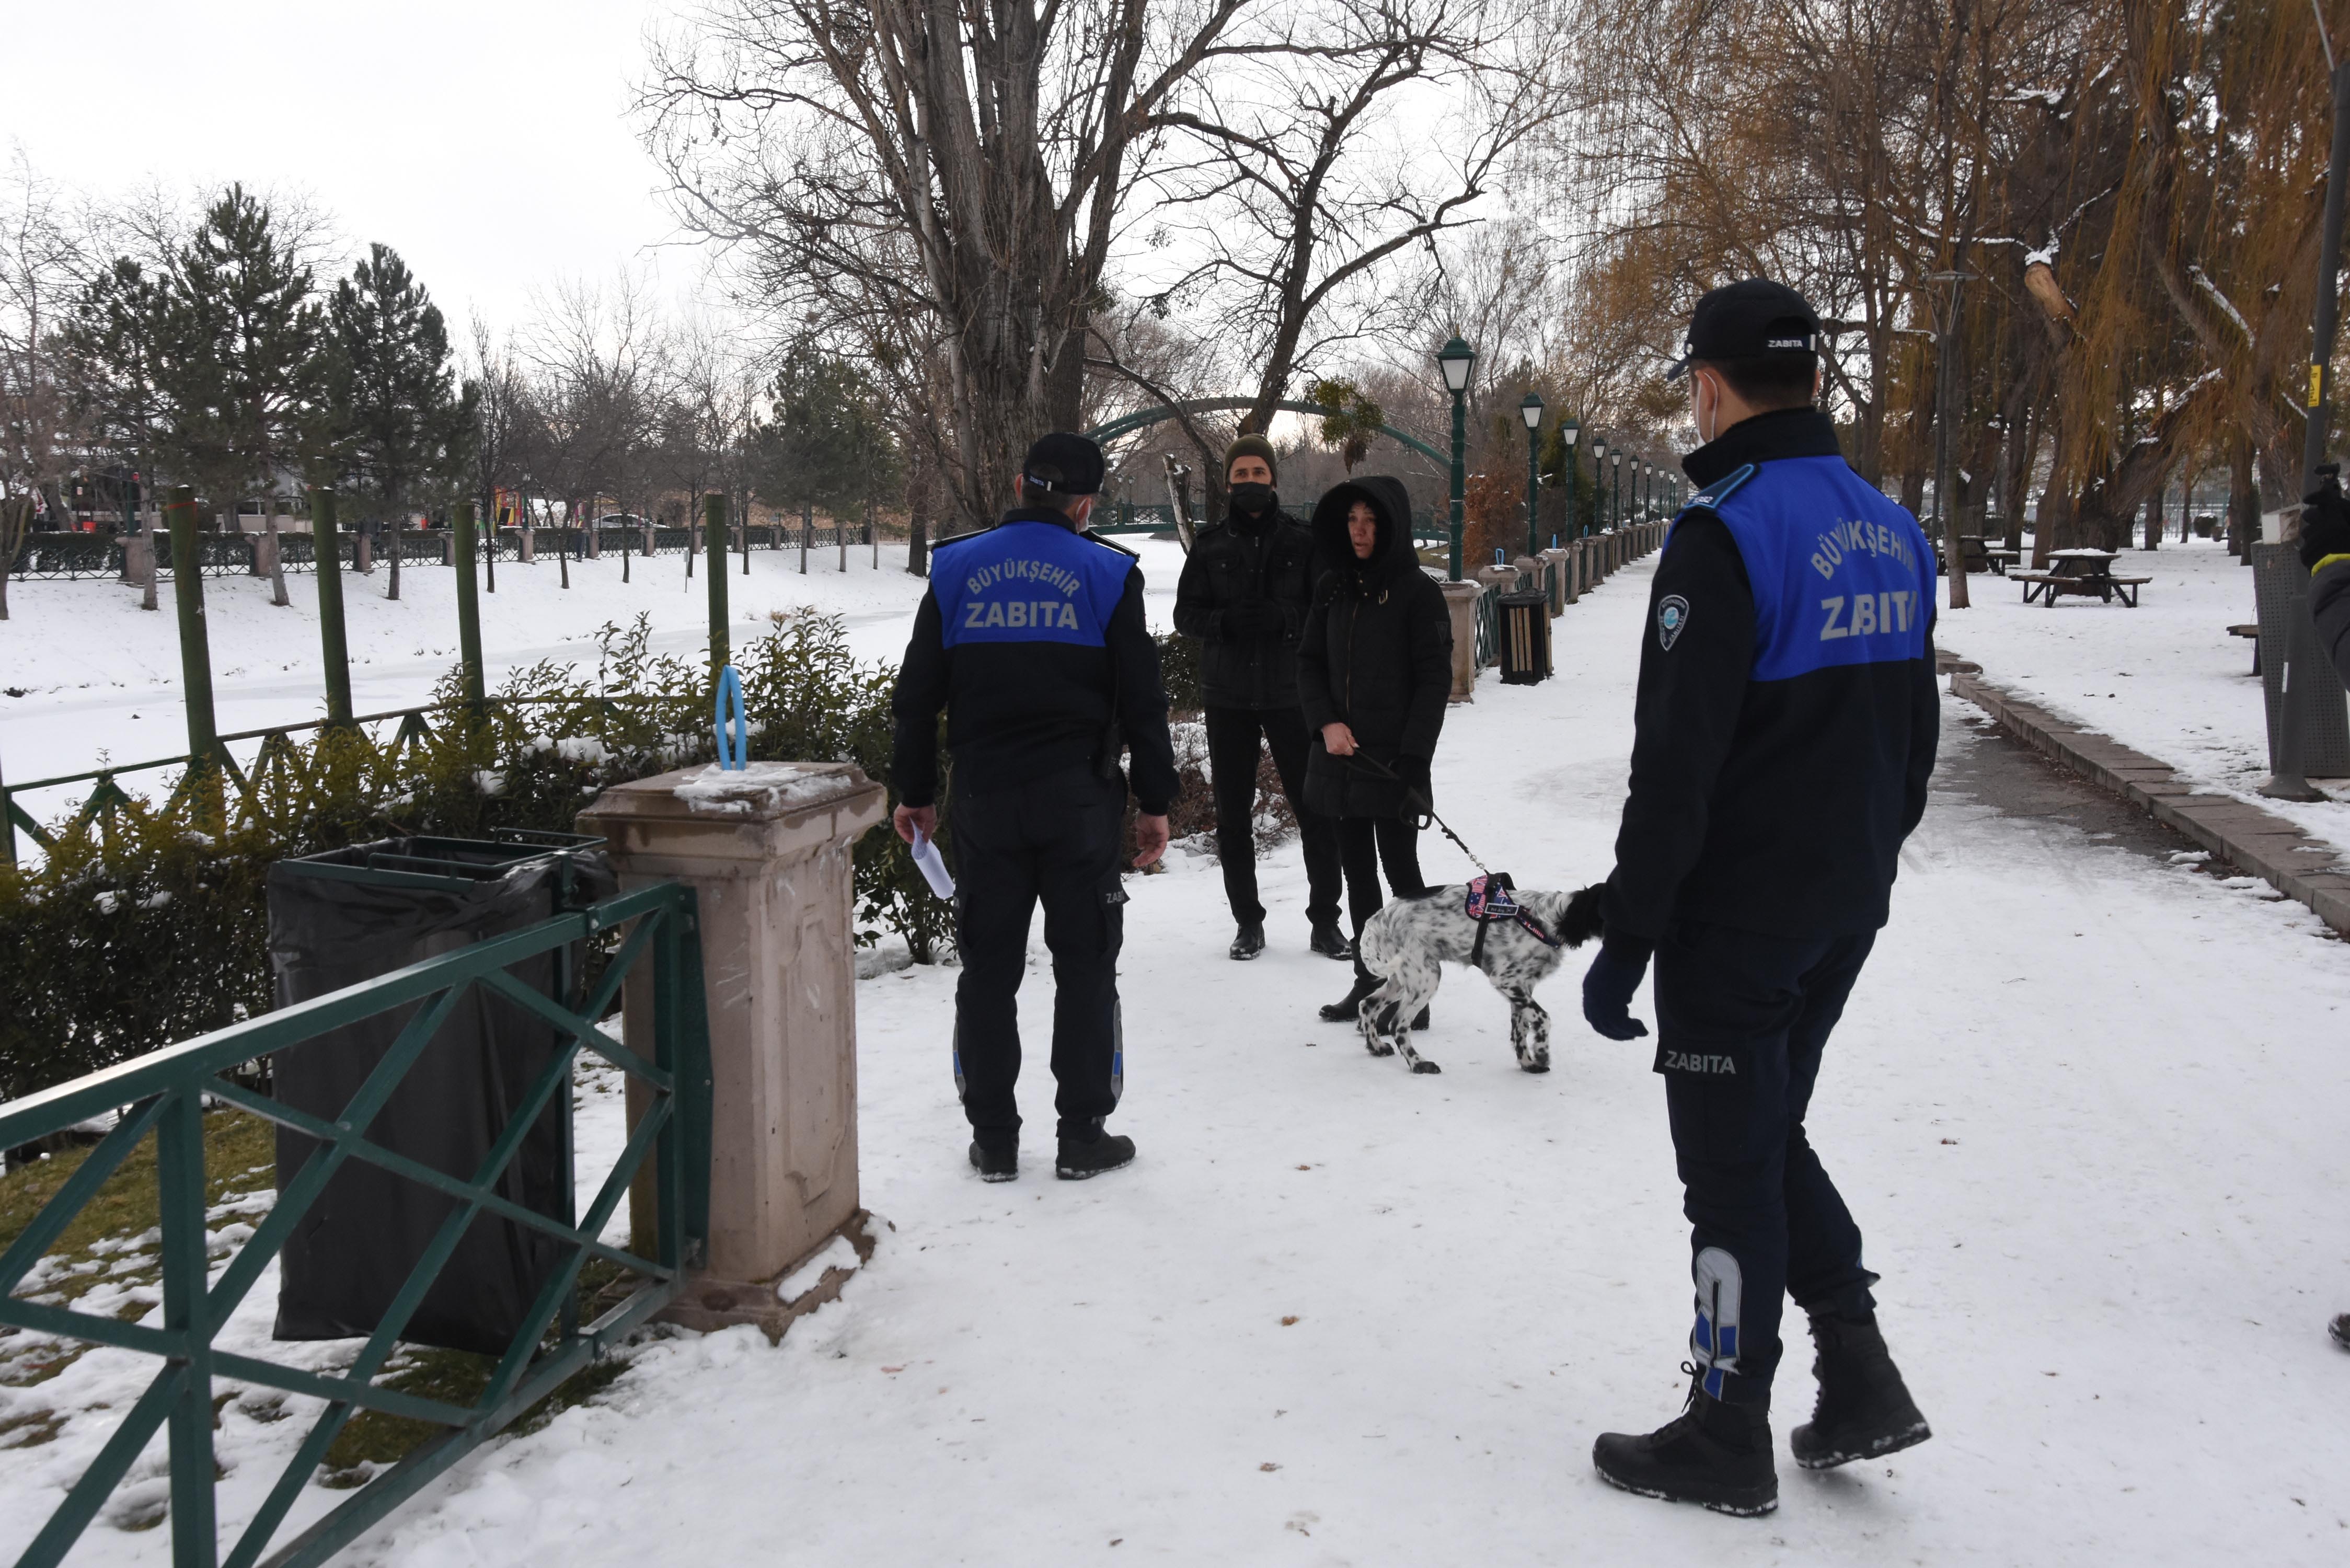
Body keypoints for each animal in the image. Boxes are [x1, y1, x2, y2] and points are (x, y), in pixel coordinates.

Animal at [1353, 879, 1607, 1071]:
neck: (1545, 920)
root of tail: (1377, 918)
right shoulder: (1505, 980)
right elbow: (1544, 1018)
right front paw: (1542, 1052)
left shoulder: (1523, 987)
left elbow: (1521, 1028)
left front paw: (1527, 1063)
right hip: (1426, 977)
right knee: (1398, 1025)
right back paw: (1419, 1063)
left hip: (1403, 979)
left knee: (1368, 1005)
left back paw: (1376, 1047)